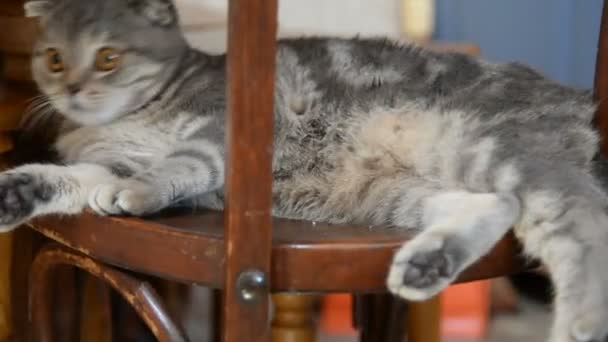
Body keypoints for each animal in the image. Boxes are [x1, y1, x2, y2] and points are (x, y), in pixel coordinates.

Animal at [5, 0, 608, 340]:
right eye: (53, 59)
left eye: (108, 58)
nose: (73, 88)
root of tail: (579, 97)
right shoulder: (108, 162)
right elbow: (76, 178)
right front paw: (17, 191)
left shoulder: (215, 136)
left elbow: (178, 165)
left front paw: (139, 191)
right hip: (399, 192)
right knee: (498, 204)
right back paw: (426, 263)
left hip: (492, 147)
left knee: (580, 223)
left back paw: (576, 325)